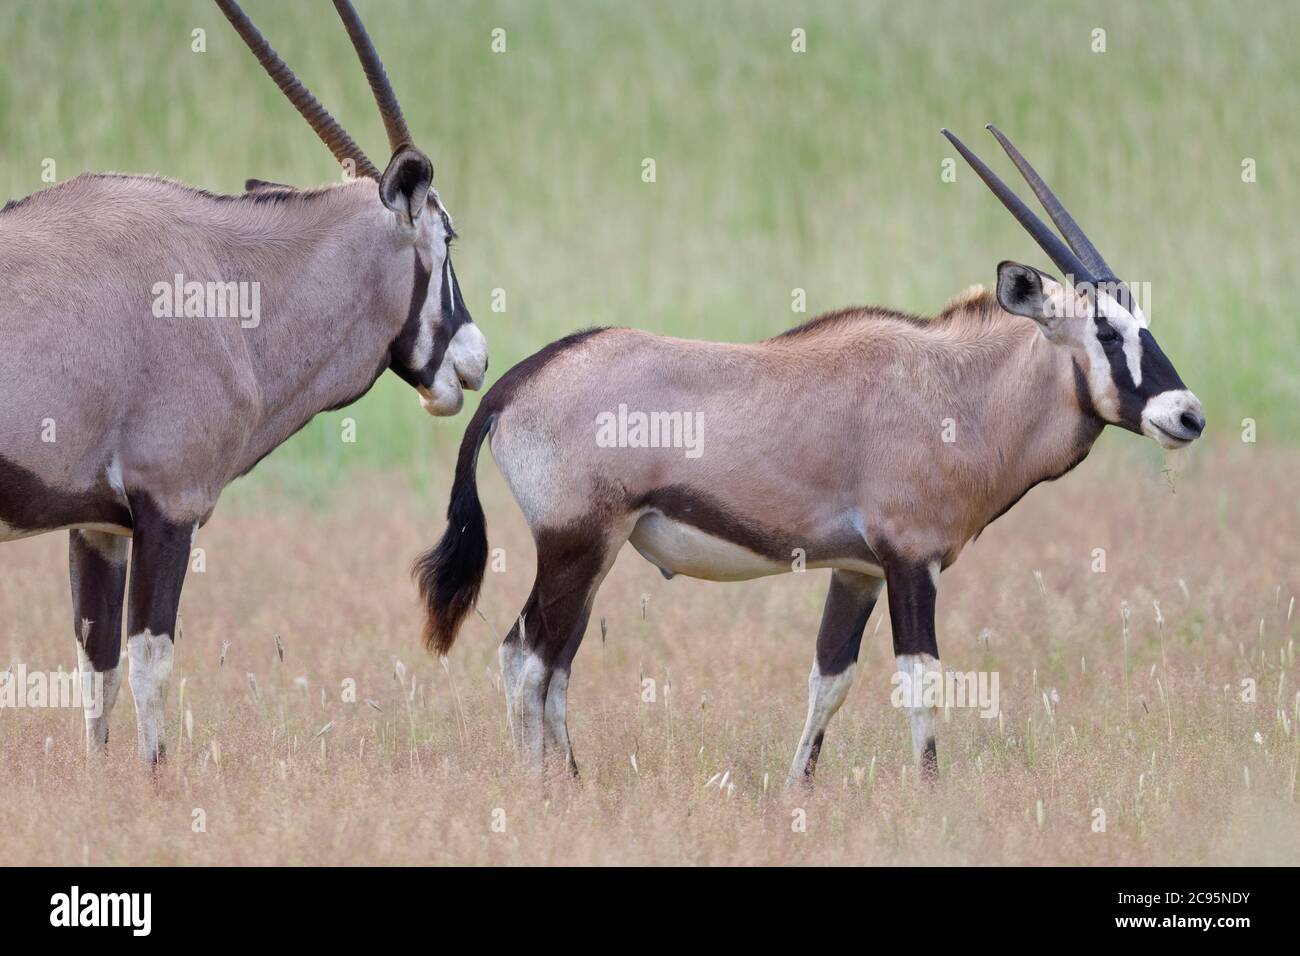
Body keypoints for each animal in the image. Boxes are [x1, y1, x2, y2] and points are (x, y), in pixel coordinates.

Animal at [0, 0, 488, 764]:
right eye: (447, 240)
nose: (475, 359)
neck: (225, 278)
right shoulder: (169, 505)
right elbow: (150, 664)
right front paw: (156, 778)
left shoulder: (96, 525)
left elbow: (96, 669)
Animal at [416, 127, 1206, 785]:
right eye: (1106, 332)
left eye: (1144, 323)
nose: (1187, 415)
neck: (956, 389)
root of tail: (516, 383)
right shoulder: (909, 561)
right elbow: (921, 679)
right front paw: (932, 792)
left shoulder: (857, 572)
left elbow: (830, 679)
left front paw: (800, 786)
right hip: (574, 546)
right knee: (526, 658)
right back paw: (540, 788)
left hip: (594, 556)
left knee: (554, 667)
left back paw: (574, 780)